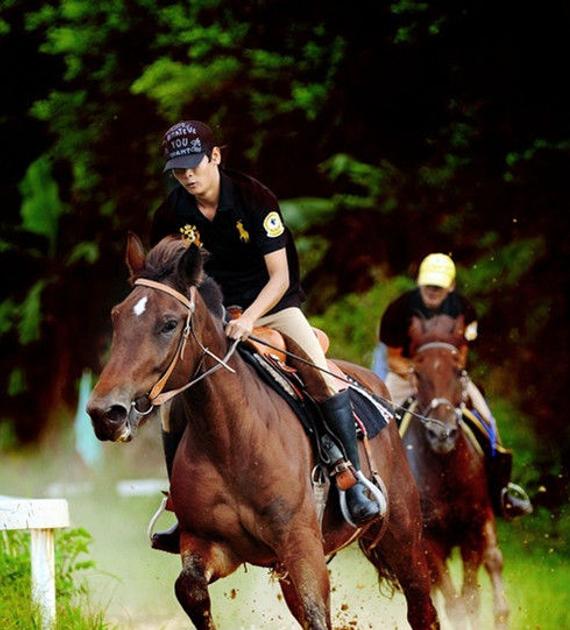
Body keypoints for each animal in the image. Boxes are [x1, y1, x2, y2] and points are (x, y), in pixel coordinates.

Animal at [86, 235, 438, 628]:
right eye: (117, 317)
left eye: (169, 323)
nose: (105, 413)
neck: (233, 441)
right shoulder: (210, 545)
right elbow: (189, 590)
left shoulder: (302, 549)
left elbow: (317, 614)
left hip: (403, 538)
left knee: (422, 610)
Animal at [402, 316, 508, 630]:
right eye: (417, 372)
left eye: (459, 371)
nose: (442, 433)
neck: (445, 473)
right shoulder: (429, 541)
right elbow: (455, 604)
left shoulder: (472, 529)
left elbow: (471, 597)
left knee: (492, 562)